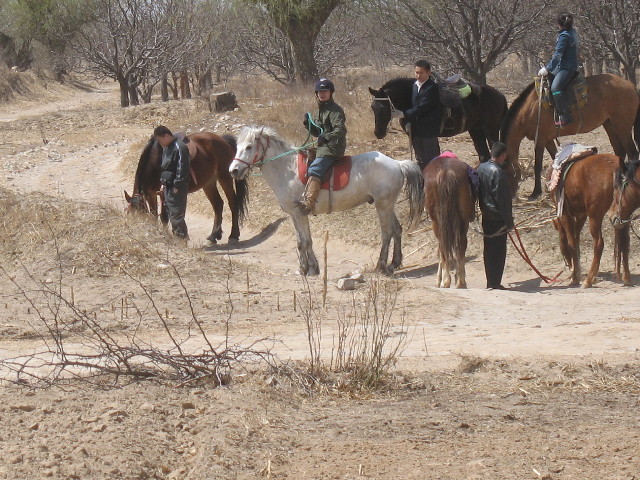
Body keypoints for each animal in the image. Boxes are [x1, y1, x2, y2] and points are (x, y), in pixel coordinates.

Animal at [230, 125, 424, 276]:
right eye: (237, 146)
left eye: (249, 147)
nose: (233, 170)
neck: (287, 169)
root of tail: (397, 164)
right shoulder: (294, 215)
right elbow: (301, 241)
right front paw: (306, 268)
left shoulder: (300, 213)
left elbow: (306, 241)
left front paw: (309, 269)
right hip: (388, 205)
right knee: (397, 230)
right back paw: (394, 264)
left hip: (382, 205)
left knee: (387, 233)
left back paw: (380, 266)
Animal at [422, 155, 478, 288]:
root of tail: (446, 171)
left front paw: (439, 279)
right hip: (463, 220)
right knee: (461, 244)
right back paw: (461, 281)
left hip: (437, 221)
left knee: (443, 245)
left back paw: (446, 281)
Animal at [502, 71, 636, 199]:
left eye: (506, 172)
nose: (510, 196)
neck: (531, 108)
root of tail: (630, 85)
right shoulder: (548, 140)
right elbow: (555, 160)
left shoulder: (540, 139)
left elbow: (538, 165)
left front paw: (535, 192)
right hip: (609, 124)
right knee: (619, 151)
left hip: (622, 126)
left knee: (632, 152)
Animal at [544, 154, 632, 286]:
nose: (569, 265)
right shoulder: (581, 215)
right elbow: (576, 240)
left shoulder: (565, 215)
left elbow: (571, 243)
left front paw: (575, 277)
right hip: (623, 214)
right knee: (625, 242)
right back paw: (626, 277)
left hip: (595, 216)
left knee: (599, 243)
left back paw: (589, 279)